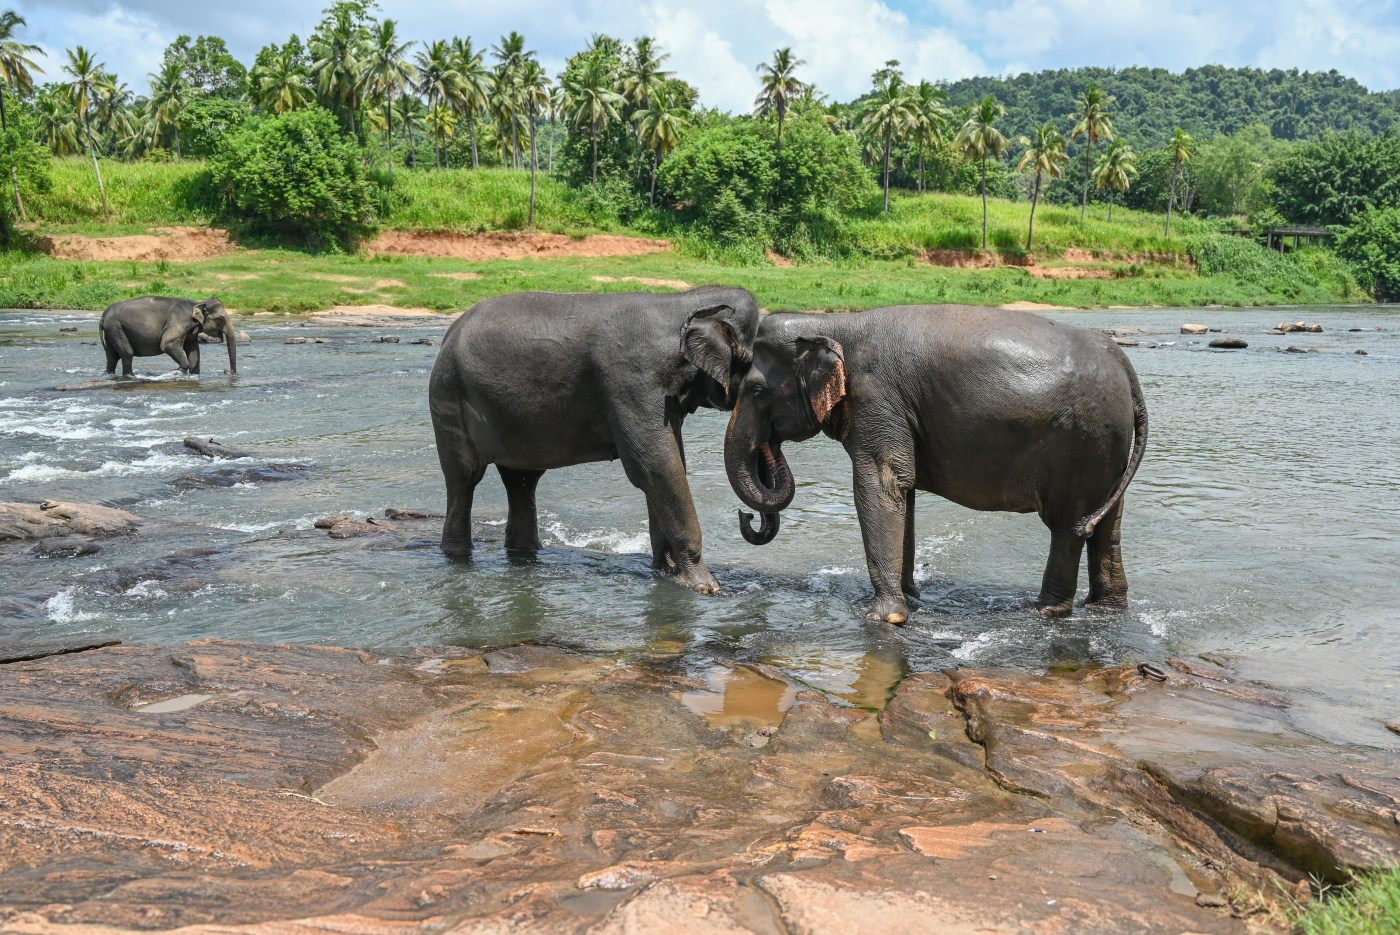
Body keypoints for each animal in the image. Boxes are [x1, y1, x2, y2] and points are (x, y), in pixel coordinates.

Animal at [99, 296, 237, 376]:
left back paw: (109, 374)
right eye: (220, 318)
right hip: (116, 328)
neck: (198, 302)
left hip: (112, 331)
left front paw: (194, 375)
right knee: (127, 353)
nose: (226, 371)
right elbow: (167, 344)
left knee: (112, 356)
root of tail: (104, 313)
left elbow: (193, 351)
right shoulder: (178, 321)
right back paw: (130, 376)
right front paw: (178, 371)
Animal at [428, 287, 761, 594]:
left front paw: (665, 573)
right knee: (464, 479)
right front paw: (706, 587)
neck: (684, 301)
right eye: (757, 383)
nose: (746, 516)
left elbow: (669, 465)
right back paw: (458, 558)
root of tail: (449, 332)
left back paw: (524, 556)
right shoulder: (630, 380)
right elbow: (656, 468)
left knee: (521, 480)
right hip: (449, 395)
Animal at [723, 304, 1148, 623]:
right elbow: (903, 489)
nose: (746, 516)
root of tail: (1125, 364)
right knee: (1106, 524)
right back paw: (1105, 609)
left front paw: (883, 618)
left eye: (756, 391)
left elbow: (881, 482)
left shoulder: (877, 397)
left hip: (1083, 442)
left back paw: (1045, 610)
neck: (832, 325)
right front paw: (911, 599)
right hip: (1108, 446)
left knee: (1068, 525)